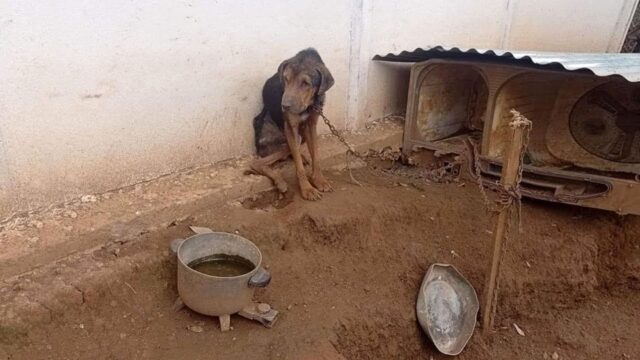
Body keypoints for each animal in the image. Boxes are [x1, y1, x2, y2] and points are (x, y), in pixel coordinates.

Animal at [251, 48, 336, 200]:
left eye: (306, 83)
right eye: (286, 79)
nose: (284, 106)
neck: (309, 105)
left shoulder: (311, 125)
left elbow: (316, 156)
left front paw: (319, 180)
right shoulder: (291, 128)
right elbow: (299, 167)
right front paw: (307, 189)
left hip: (301, 136)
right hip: (284, 140)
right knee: (257, 162)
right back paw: (280, 182)